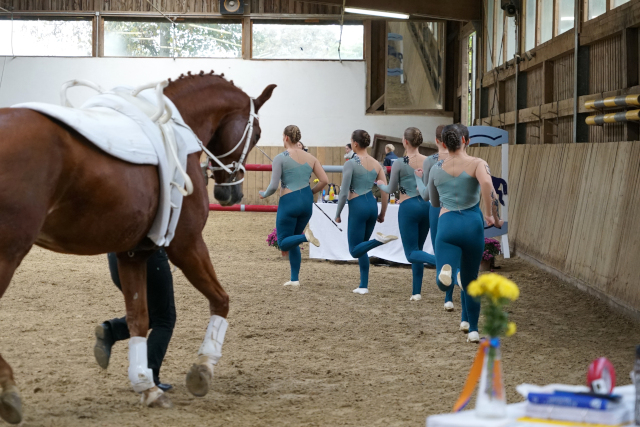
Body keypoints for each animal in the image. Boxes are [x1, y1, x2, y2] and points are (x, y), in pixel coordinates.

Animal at [0, 71, 276, 423]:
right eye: (256, 134)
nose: (232, 195)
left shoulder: (132, 253)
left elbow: (139, 319)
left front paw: (147, 386)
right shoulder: (187, 245)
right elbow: (221, 300)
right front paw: (203, 369)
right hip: (7, 255)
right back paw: (8, 392)